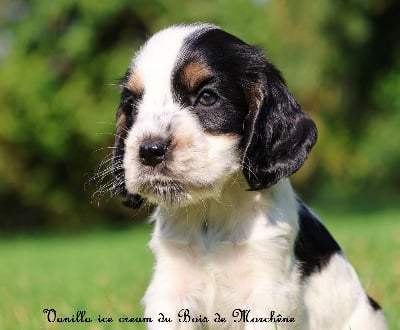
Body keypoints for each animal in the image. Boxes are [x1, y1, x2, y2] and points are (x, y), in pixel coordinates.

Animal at [111, 23, 386, 330]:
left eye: (207, 97)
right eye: (133, 106)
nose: (150, 150)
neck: (212, 211)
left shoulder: (266, 291)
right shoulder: (171, 290)